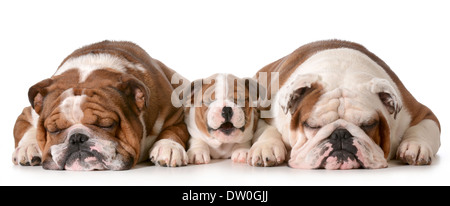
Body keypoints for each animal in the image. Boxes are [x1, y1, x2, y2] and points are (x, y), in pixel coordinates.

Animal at [10, 40, 190, 171]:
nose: (76, 138)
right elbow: (26, 128)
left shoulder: (176, 114)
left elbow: (175, 130)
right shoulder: (29, 113)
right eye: (54, 130)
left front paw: (168, 147)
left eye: (106, 125)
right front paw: (28, 147)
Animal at [251, 39, 442, 169]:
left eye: (369, 124)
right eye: (312, 125)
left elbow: (423, 128)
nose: (340, 134)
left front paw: (415, 147)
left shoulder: (421, 113)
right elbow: (264, 128)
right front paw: (266, 148)